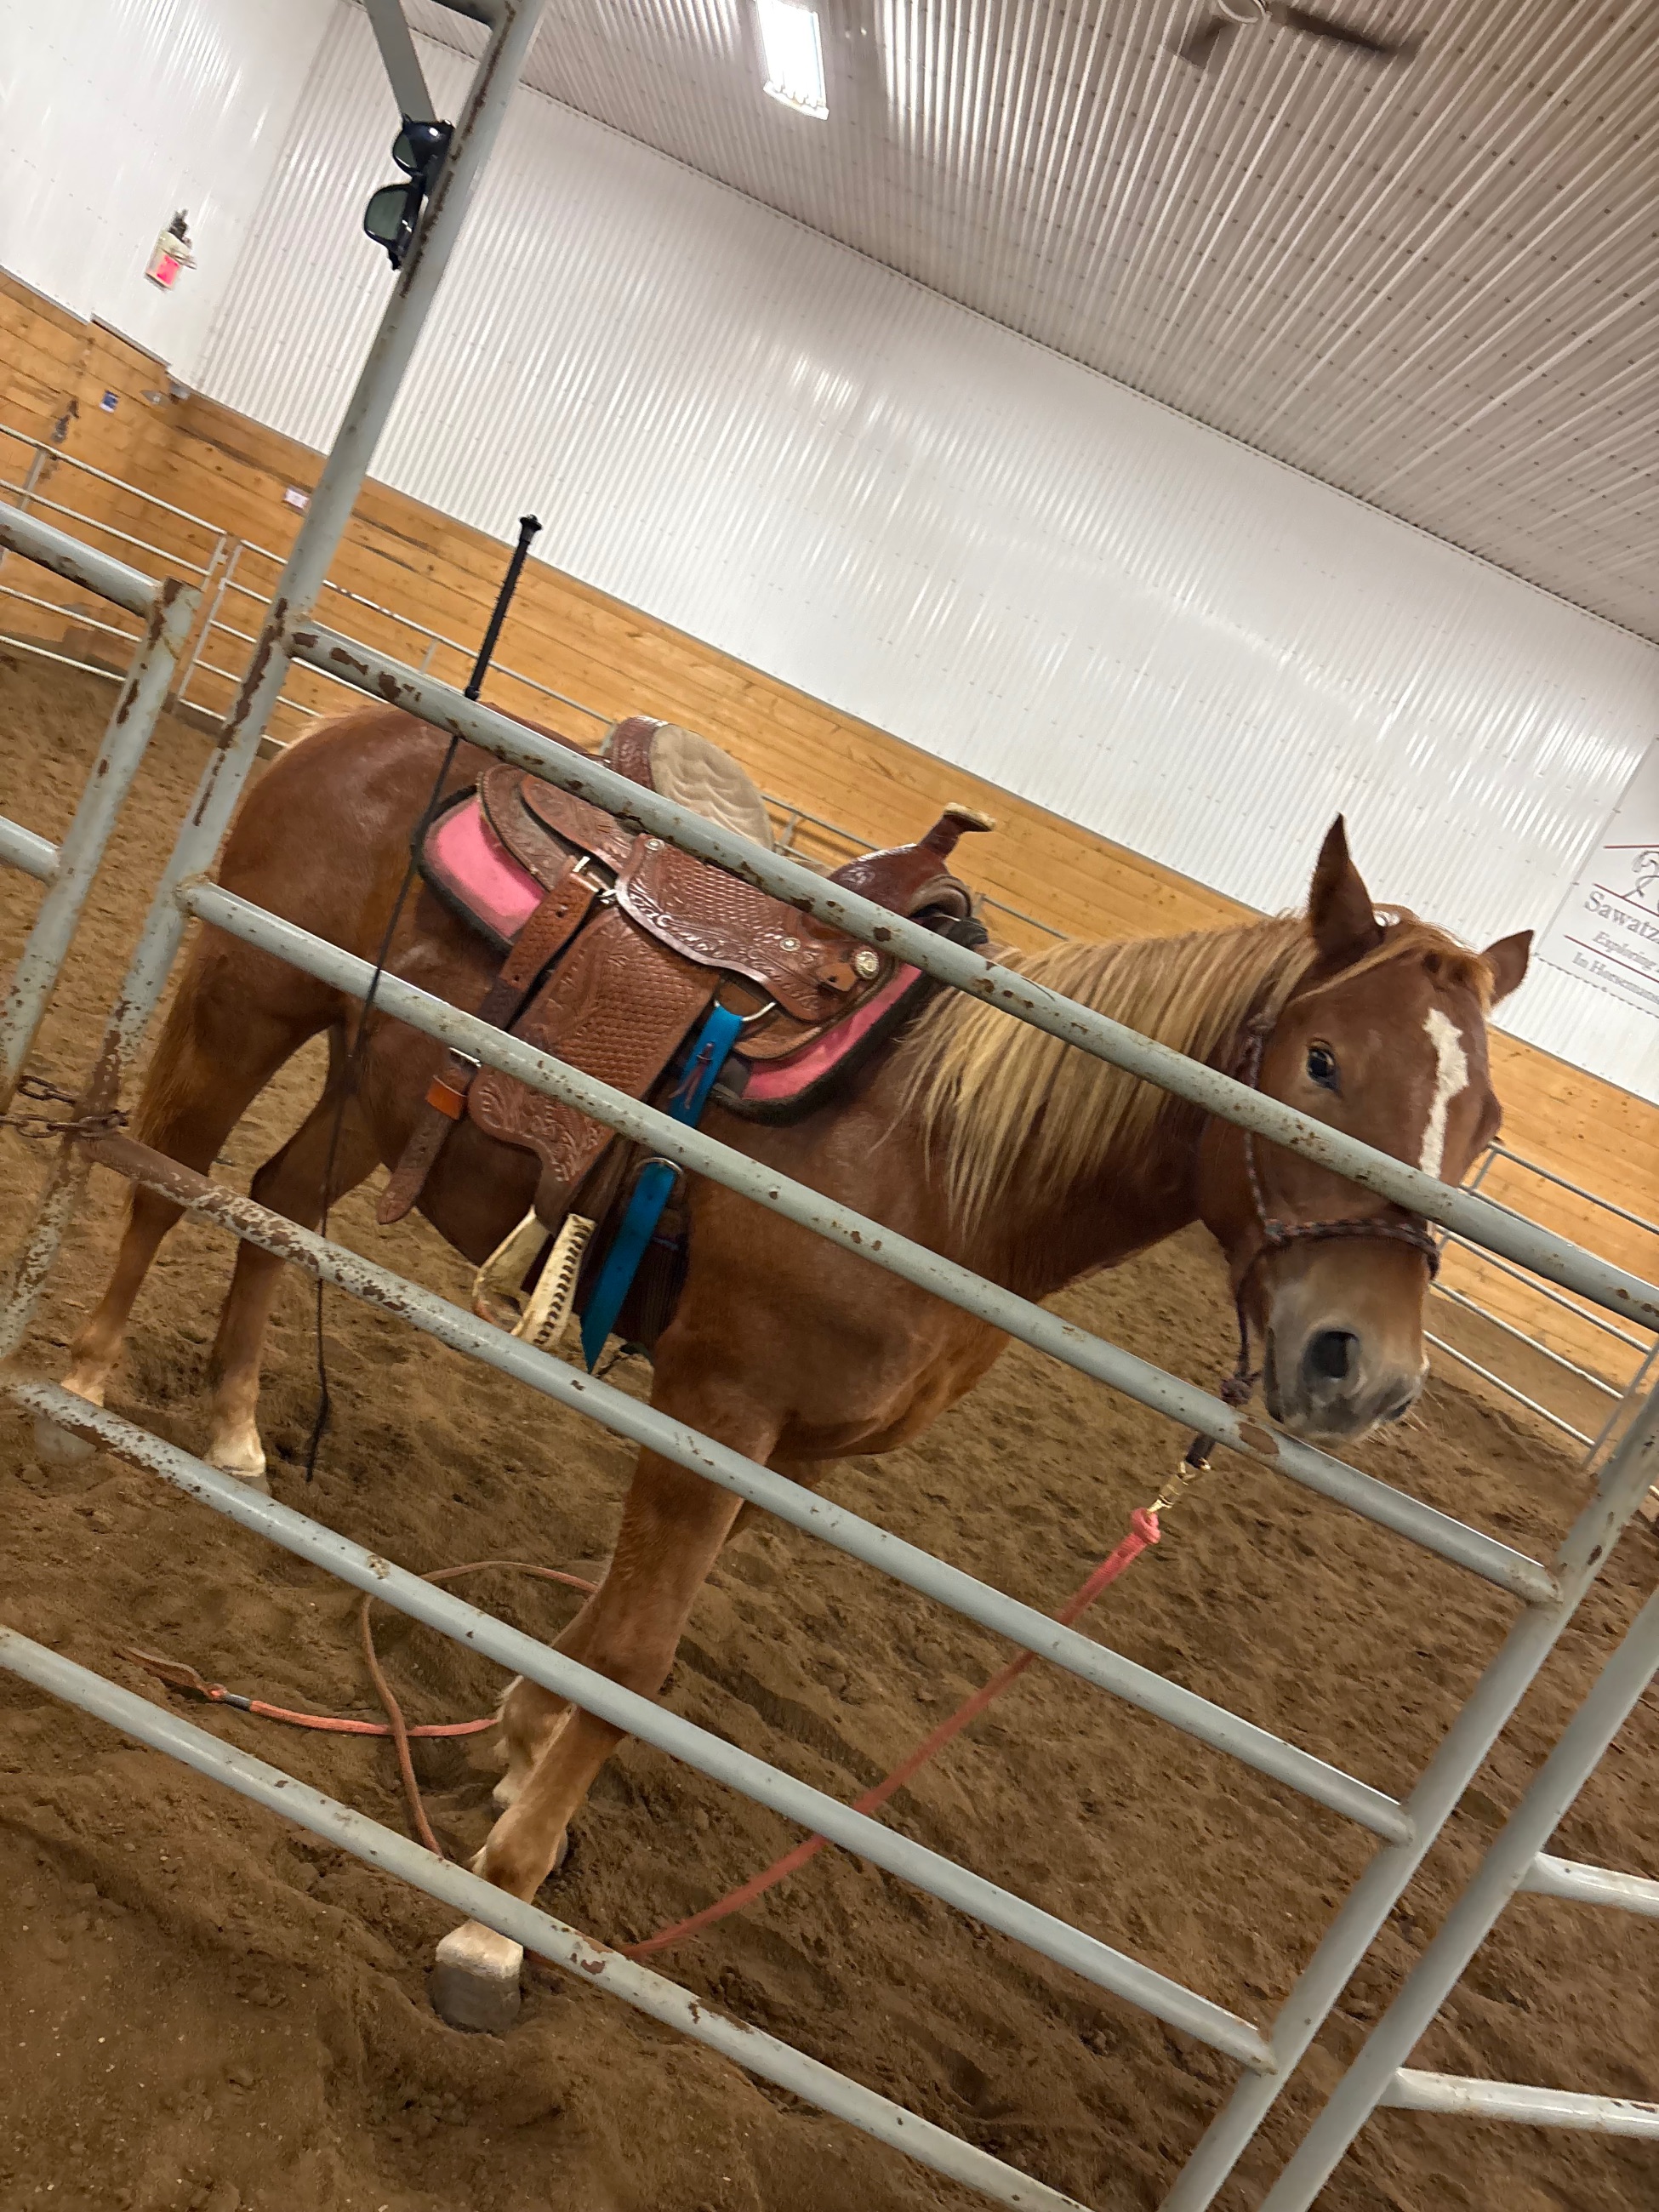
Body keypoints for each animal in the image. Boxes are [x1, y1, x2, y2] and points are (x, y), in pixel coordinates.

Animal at [42, 703, 1530, 2026]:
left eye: (1485, 1132)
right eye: (1321, 1063)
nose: (1362, 1370)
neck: (938, 1160)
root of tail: (358, 724)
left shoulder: (789, 1452)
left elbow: (616, 1624)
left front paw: (517, 1750)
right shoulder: (723, 1407)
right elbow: (637, 1655)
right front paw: (497, 1920)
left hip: (373, 1078)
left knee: (276, 1205)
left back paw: (236, 1430)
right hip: (250, 996)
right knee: (162, 1167)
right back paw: (82, 1391)